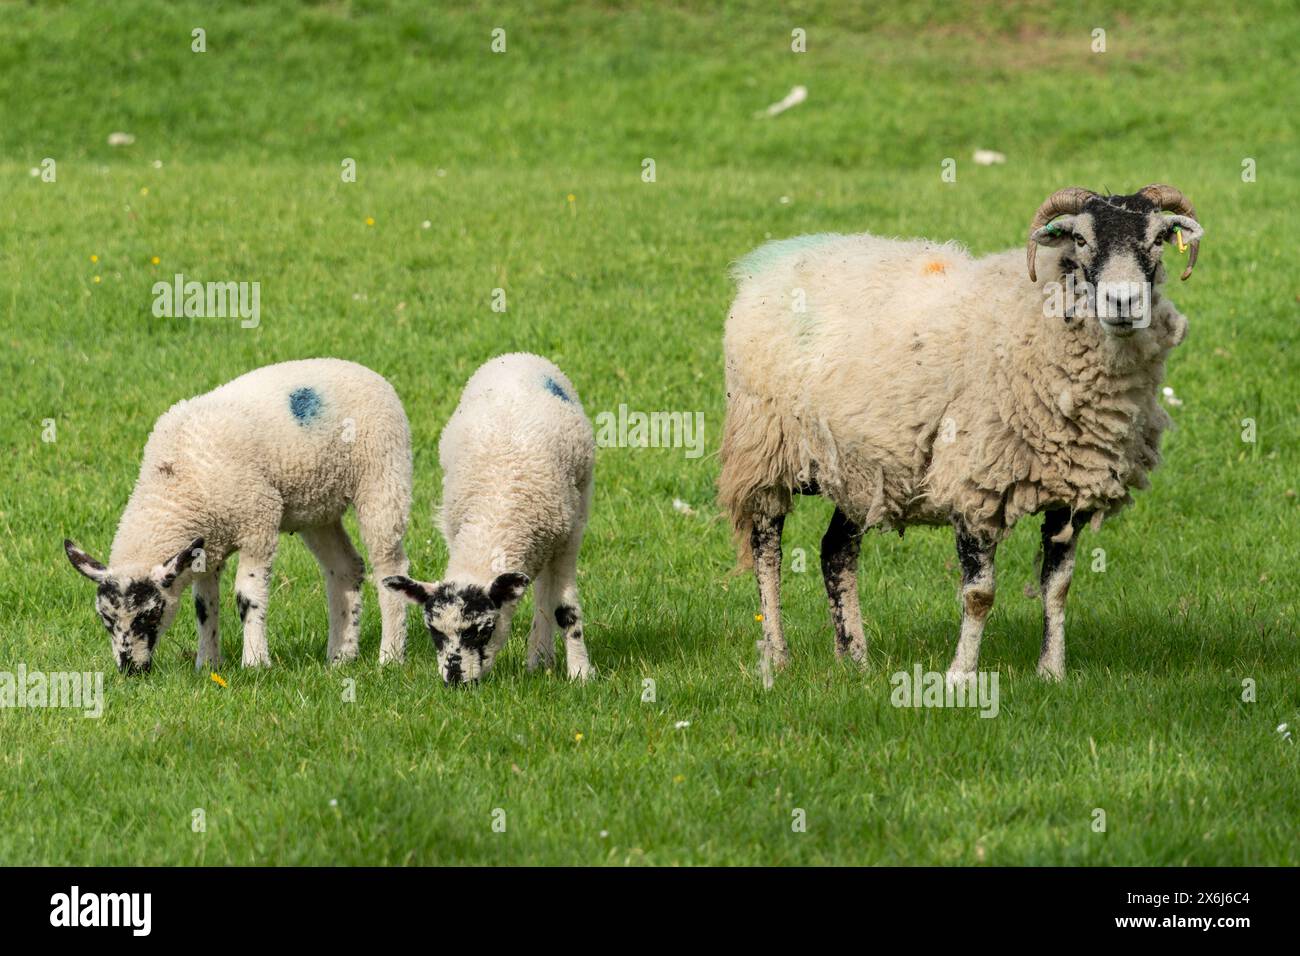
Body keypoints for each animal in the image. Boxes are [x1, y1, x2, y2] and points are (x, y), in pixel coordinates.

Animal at [64, 358, 413, 673]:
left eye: (149, 614)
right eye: (106, 619)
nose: (130, 670)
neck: (172, 491)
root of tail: (367, 371)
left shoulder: (258, 521)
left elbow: (247, 597)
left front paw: (255, 663)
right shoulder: (205, 547)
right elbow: (204, 606)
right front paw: (207, 666)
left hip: (383, 476)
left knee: (389, 567)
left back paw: (390, 656)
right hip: (318, 506)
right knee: (345, 569)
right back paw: (341, 657)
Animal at [384, 352, 596, 685]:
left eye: (483, 629)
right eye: (434, 633)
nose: (455, 681)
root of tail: (516, 355)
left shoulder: (567, 540)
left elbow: (566, 609)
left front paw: (581, 674)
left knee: (545, 595)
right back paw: (540, 658)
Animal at [719, 184, 1203, 683]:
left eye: (1157, 239)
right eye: (1082, 240)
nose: (1123, 301)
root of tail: (771, 259)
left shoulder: (1070, 490)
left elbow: (1058, 587)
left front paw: (1051, 672)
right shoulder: (975, 482)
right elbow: (979, 594)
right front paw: (960, 676)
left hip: (862, 467)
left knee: (836, 551)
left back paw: (856, 660)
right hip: (765, 447)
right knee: (767, 547)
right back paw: (777, 655)